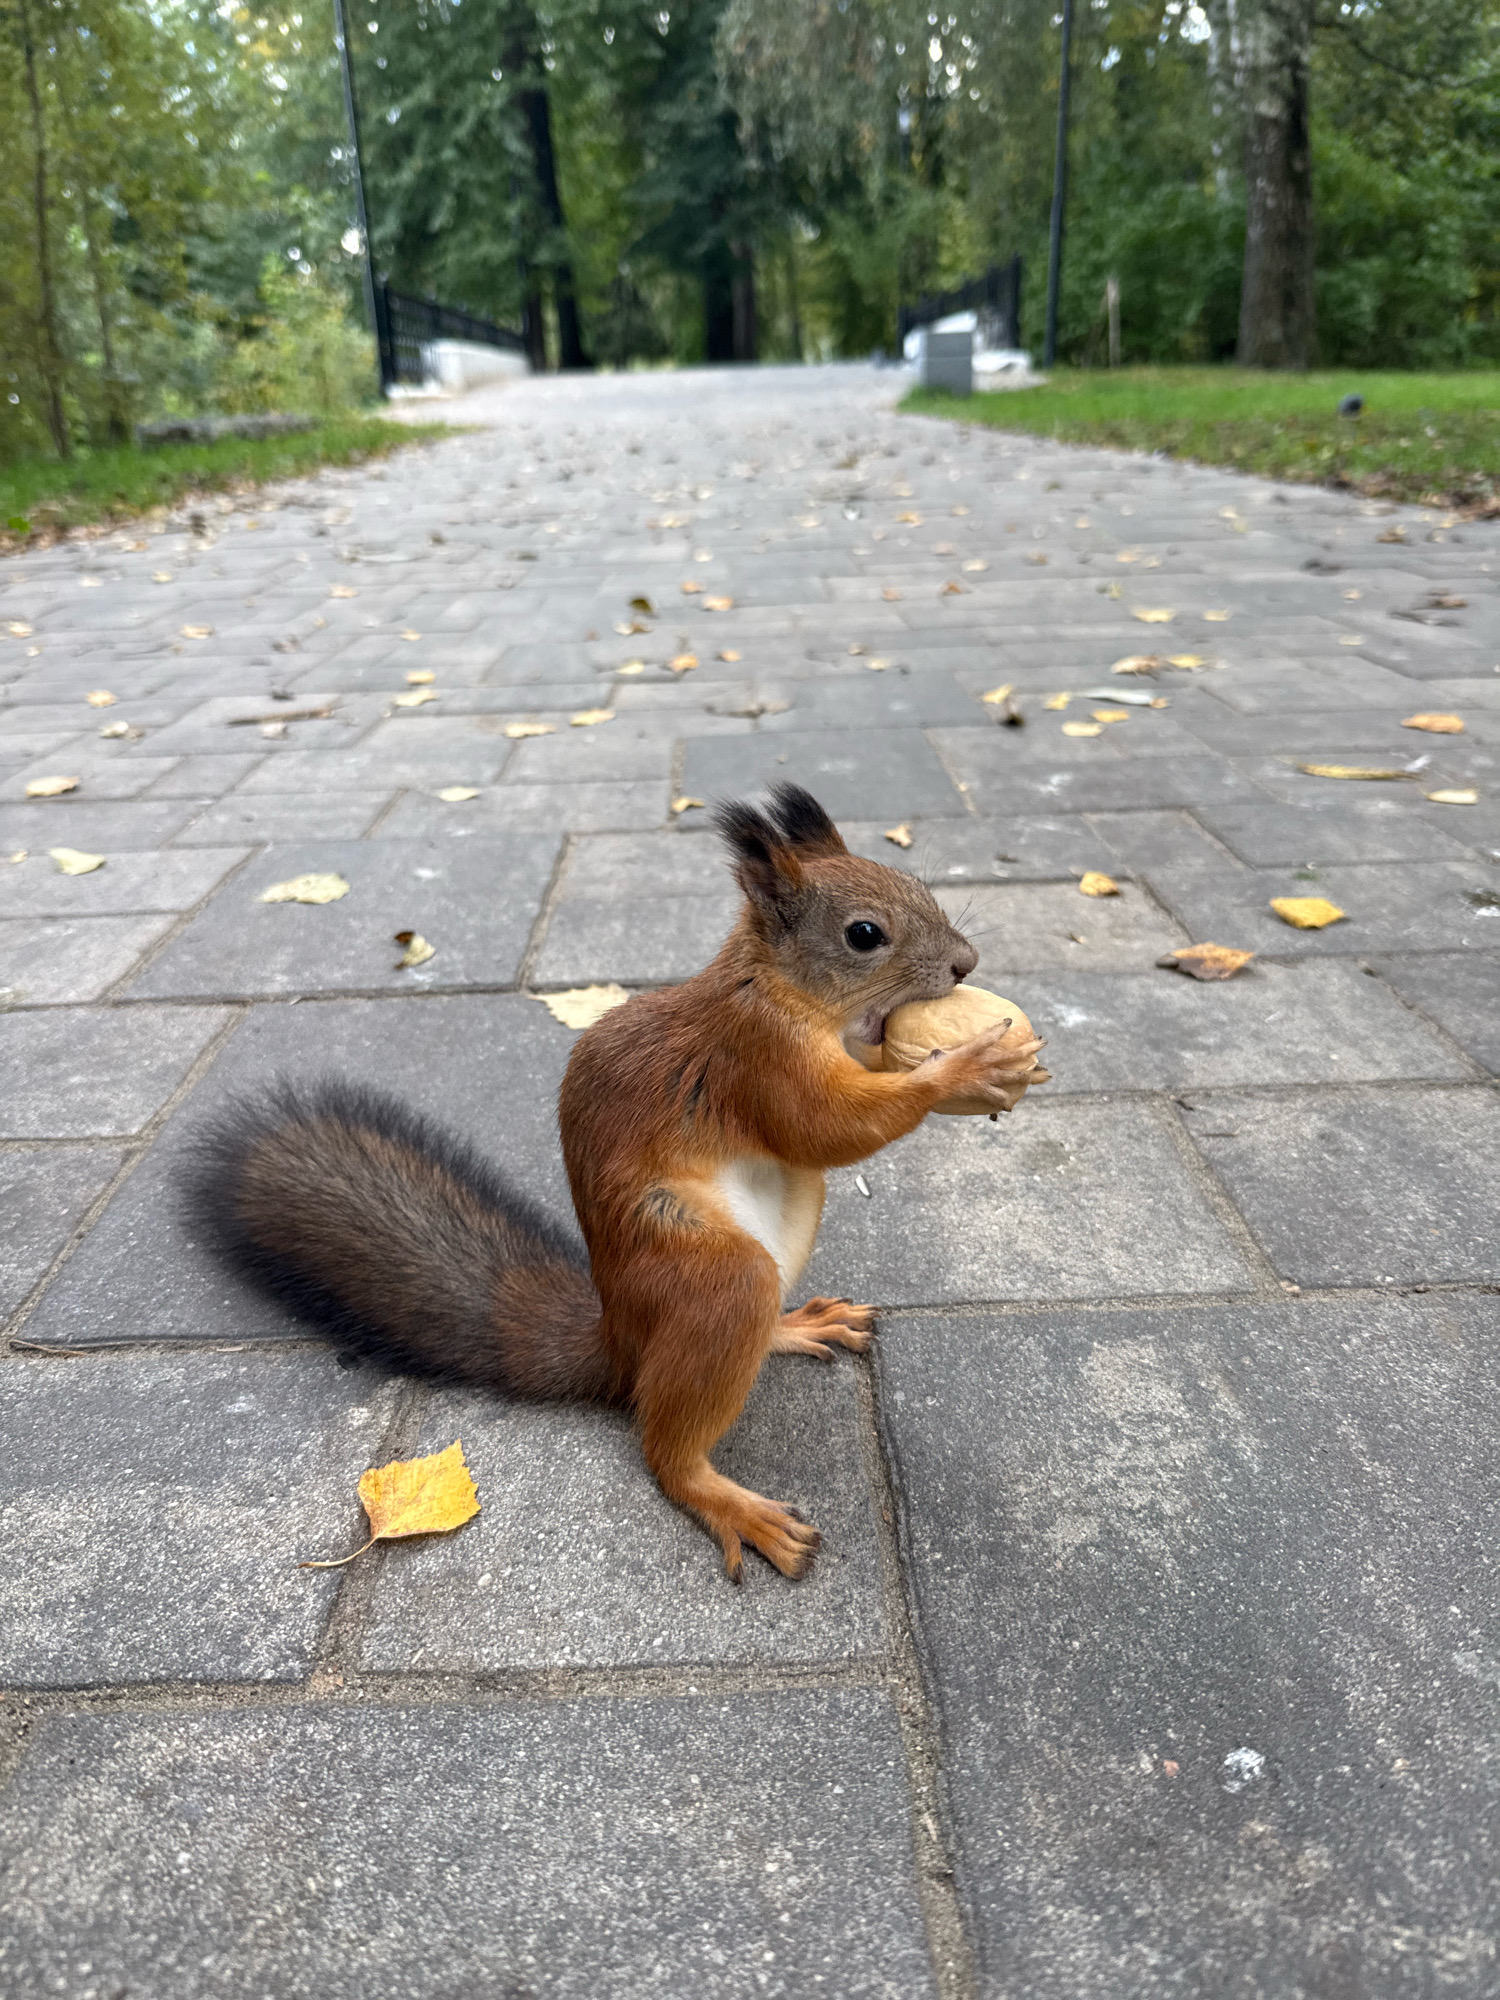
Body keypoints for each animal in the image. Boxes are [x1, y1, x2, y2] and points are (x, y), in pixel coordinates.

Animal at [190, 784, 1043, 1583]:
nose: (966, 963)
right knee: (664, 1447)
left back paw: (796, 1326)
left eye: (917, 885)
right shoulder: (755, 1058)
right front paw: (969, 1067)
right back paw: (731, 1504)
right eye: (864, 935)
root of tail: (620, 1343)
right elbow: (824, 1127)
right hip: (709, 1275)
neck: (774, 987)